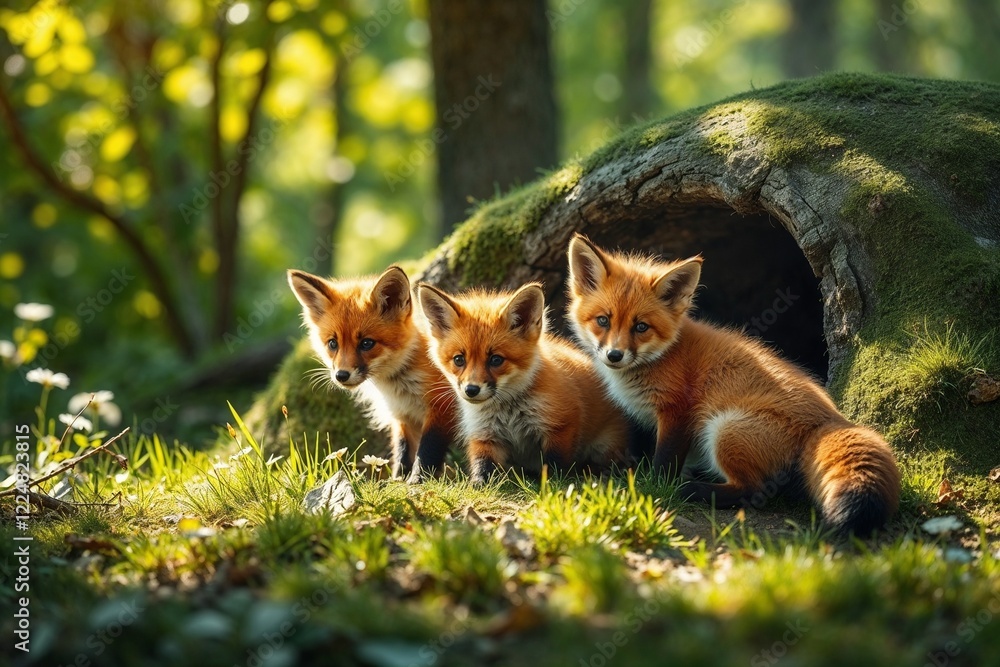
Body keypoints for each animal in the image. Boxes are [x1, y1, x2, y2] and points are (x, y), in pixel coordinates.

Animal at [288, 266, 457, 483]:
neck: (399, 388)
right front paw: (397, 480)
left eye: (366, 343)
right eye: (333, 344)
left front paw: (418, 480)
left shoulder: (441, 408)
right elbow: (403, 452)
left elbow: (427, 451)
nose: (341, 375)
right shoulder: (402, 416)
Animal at [416, 282, 630, 485]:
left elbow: (555, 463)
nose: (471, 390)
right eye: (459, 360)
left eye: (496, 360)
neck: (508, 412)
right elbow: (481, 463)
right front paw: (478, 484)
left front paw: (552, 483)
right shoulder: (484, 434)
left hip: (606, 444)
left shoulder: (561, 424)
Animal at [566, 234, 901, 535]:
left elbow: (664, 462)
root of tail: (830, 419)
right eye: (603, 320)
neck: (664, 355)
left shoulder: (678, 411)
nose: (614, 355)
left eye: (641, 327)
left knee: (752, 491)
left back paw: (693, 490)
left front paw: (655, 486)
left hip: (724, 429)